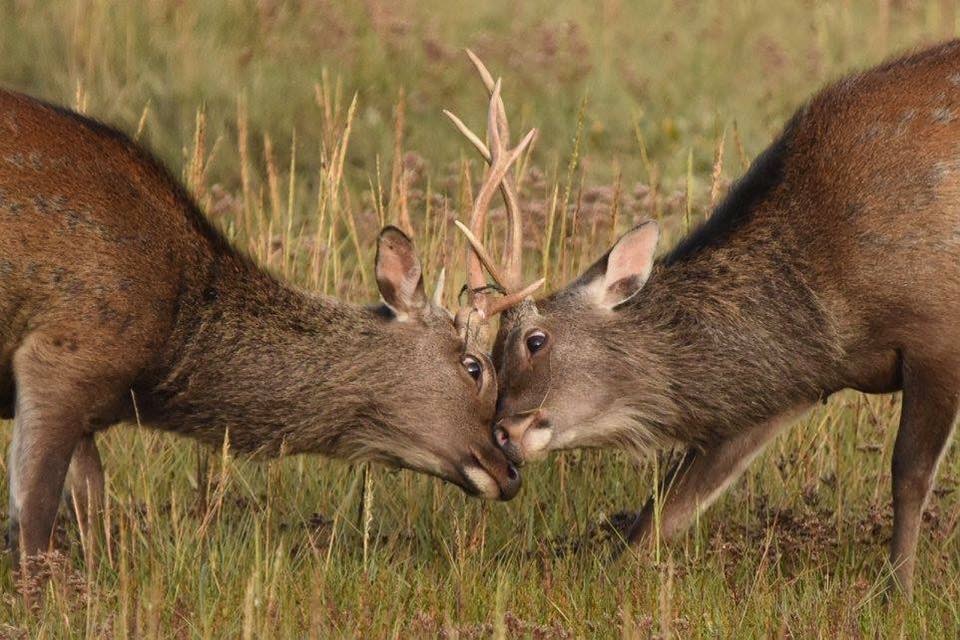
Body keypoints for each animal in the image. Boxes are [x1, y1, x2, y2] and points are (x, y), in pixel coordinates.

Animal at [0, 81, 540, 568]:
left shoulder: (92, 407)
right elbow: (33, 522)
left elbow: (91, 521)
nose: (511, 471)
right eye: (474, 367)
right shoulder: (63, 352)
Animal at [454, 41, 960, 600]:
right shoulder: (798, 381)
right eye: (489, 357)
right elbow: (672, 505)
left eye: (535, 340)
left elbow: (909, 474)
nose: (502, 434)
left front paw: (897, 593)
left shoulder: (937, 331)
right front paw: (604, 577)